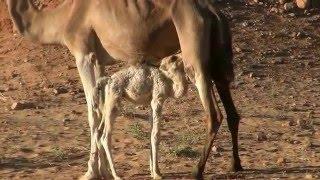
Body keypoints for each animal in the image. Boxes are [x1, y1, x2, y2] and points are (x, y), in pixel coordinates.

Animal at [6, 0, 242, 179]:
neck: (63, 17)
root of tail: (213, 11)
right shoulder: (100, 62)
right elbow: (101, 110)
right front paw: (103, 171)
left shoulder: (84, 54)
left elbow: (92, 113)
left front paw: (91, 172)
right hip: (216, 55)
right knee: (231, 109)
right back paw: (235, 165)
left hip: (194, 46)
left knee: (213, 112)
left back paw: (197, 170)